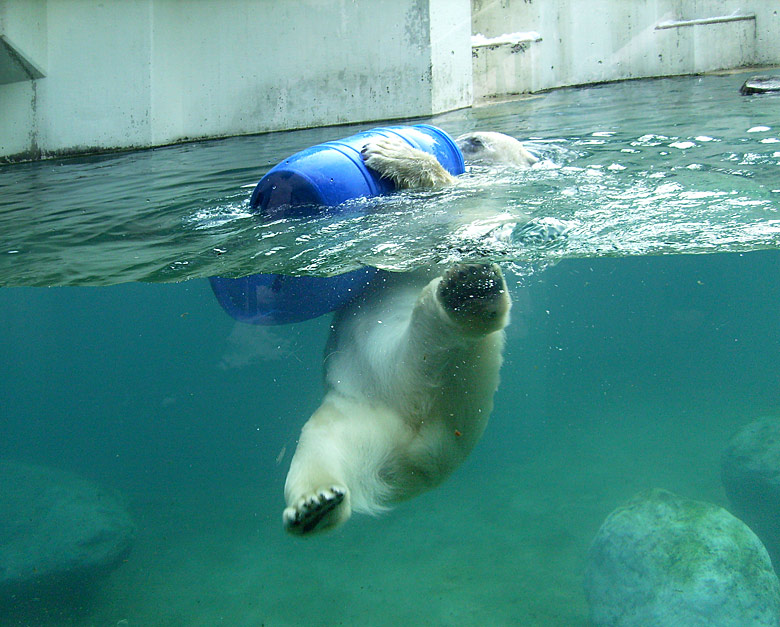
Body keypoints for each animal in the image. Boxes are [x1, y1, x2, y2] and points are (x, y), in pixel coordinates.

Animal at [282, 131, 532, 536]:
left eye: (477, 141)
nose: (461, 141)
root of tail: (422, 450)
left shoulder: (483, 212)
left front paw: (391, 153)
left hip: (394, 363)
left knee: (428, 329)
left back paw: (468, 293)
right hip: (353, 417)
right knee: (319, 449)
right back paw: (315, 504)